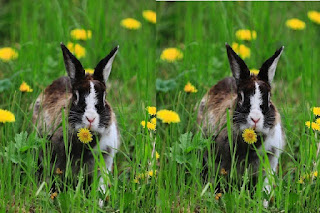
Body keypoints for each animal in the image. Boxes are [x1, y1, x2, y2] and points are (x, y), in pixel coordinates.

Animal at [32, 43, 120, 206]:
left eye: (104, 98)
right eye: (76, 96)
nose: (90, 118)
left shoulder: (105, 161)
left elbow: (101, 185)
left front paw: (98, 203)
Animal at [198, 44, 284, 207]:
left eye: (269, 99)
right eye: (241, 97)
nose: (255, 119)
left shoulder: (269, 162)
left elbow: (266, 186)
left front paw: (263, 204)